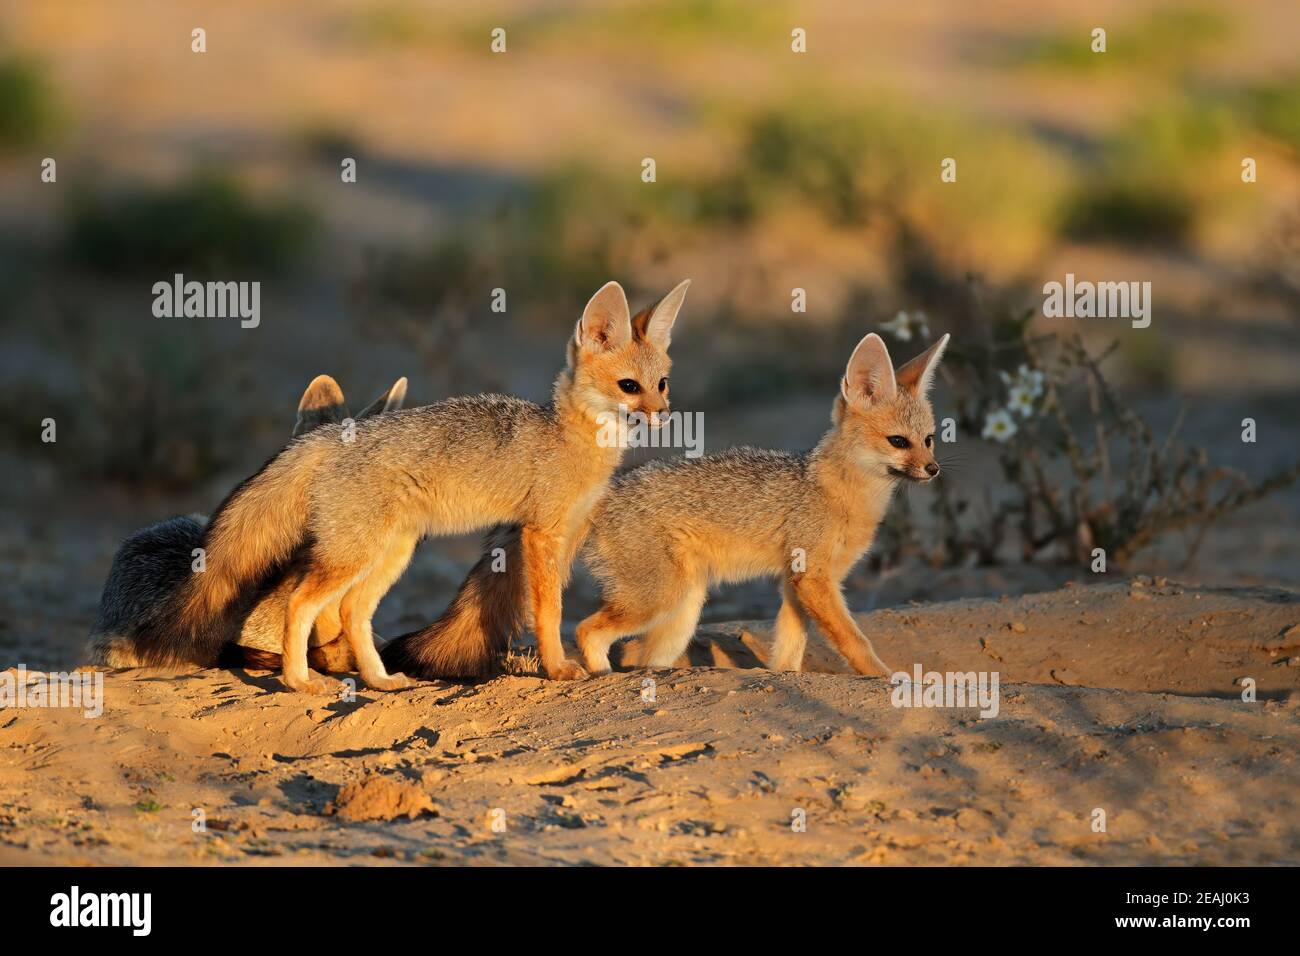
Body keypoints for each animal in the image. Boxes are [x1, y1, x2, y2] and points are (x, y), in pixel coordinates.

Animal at [130, 280, 686, 691]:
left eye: (661, 384)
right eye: (628, 387)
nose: (663, 416)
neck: (571, 437)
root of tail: (333, 434)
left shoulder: (564, 533)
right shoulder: (540, 534)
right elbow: (549, 613)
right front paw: (558, 669)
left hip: (390, 552)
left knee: (352, 611)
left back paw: (379, 681)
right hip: (353, 554)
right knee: (300, 603)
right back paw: (299, 681)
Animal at [379, 329, 951, 681]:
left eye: (929, 439)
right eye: (899, 442)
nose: (933, 470)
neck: (837, 490)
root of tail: (607, 488)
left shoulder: (797, 584)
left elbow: (788, 649)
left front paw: (785, 677)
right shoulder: (815, 579)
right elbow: (855, 641)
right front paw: (884, 677)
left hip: (683, 605)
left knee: (639, 652)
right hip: (660, 596)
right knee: (588, 630)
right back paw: (598, 673)